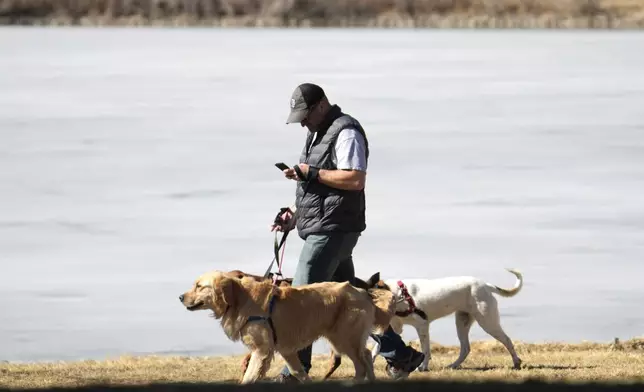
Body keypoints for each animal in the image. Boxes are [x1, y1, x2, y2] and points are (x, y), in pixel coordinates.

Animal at [372, 270, 524, 370]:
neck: (399, 294)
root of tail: (486, 285)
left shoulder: (422, 325)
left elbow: (425, 350)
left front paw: (423, 367)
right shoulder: (393, 329)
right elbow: (376, 348)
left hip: (488, 322)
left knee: (507, 341)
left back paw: (516, 363)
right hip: (462, 322)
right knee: (465, 348)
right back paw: (454, 365)